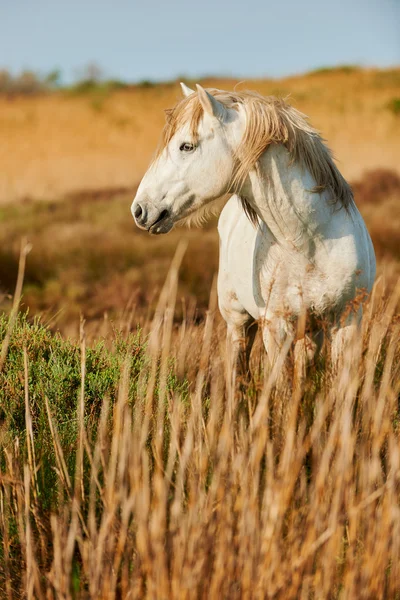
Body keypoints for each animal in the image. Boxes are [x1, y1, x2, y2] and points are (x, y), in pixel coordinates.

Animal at [130, 83, 376, 370]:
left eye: (186, 146)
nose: (139, 209)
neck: (311, 243)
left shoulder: (348, 320)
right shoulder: (275, 328)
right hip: (238, 321)